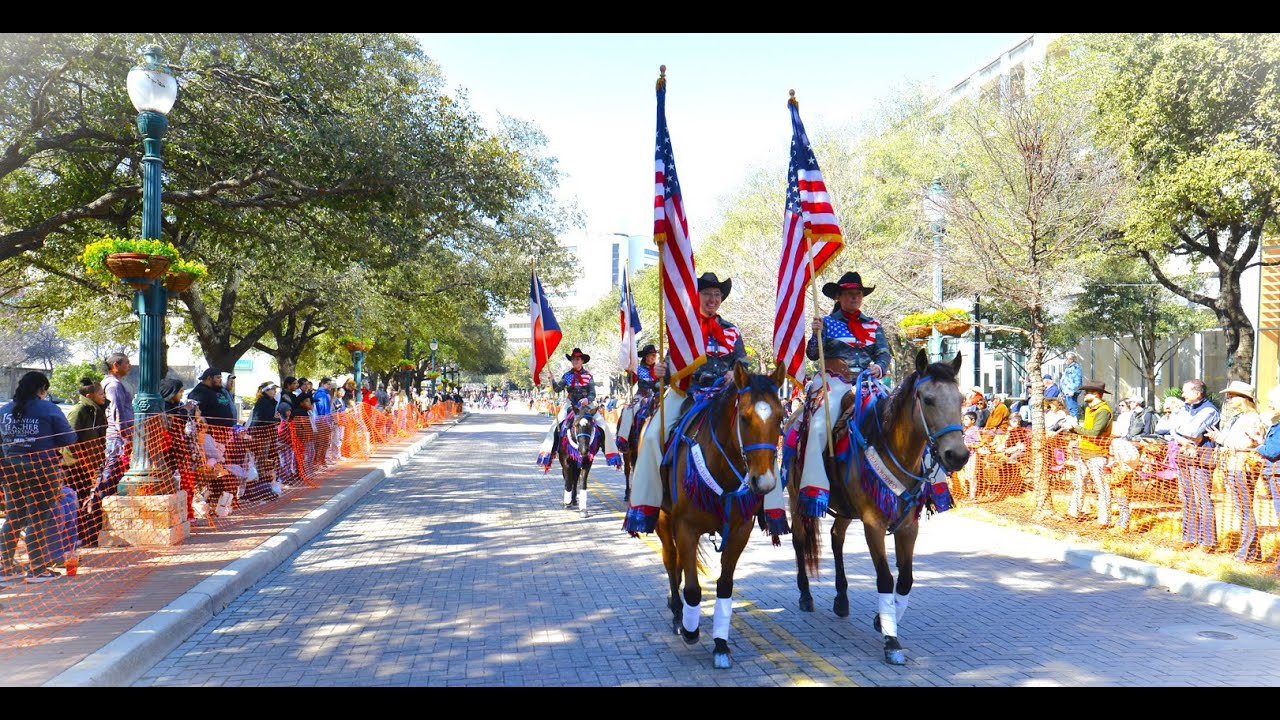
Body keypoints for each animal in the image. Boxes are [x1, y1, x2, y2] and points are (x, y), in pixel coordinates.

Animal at [660, 361, 788, 671]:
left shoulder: (740, 530)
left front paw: (720, 644)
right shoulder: (686, 527)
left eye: (780, 417)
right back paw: (678, 614)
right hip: (663, 518)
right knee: (671, 561)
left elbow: (725, 586)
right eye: (744, 417)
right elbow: (693, 588)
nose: (764, 482)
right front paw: (691, 630)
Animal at [783, 345, 962, 661]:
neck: (892, 447)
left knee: (836, 538)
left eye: (962, 400)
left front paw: (884, 618)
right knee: (800, 540)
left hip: (844, 508)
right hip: (797, 497)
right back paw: (805, 594)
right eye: (928, 400)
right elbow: (885, 578)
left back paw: (842, 598)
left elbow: (905, 579)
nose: (959, 455)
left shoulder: (908, 525)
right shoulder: (873, 524)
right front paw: (891, 640)